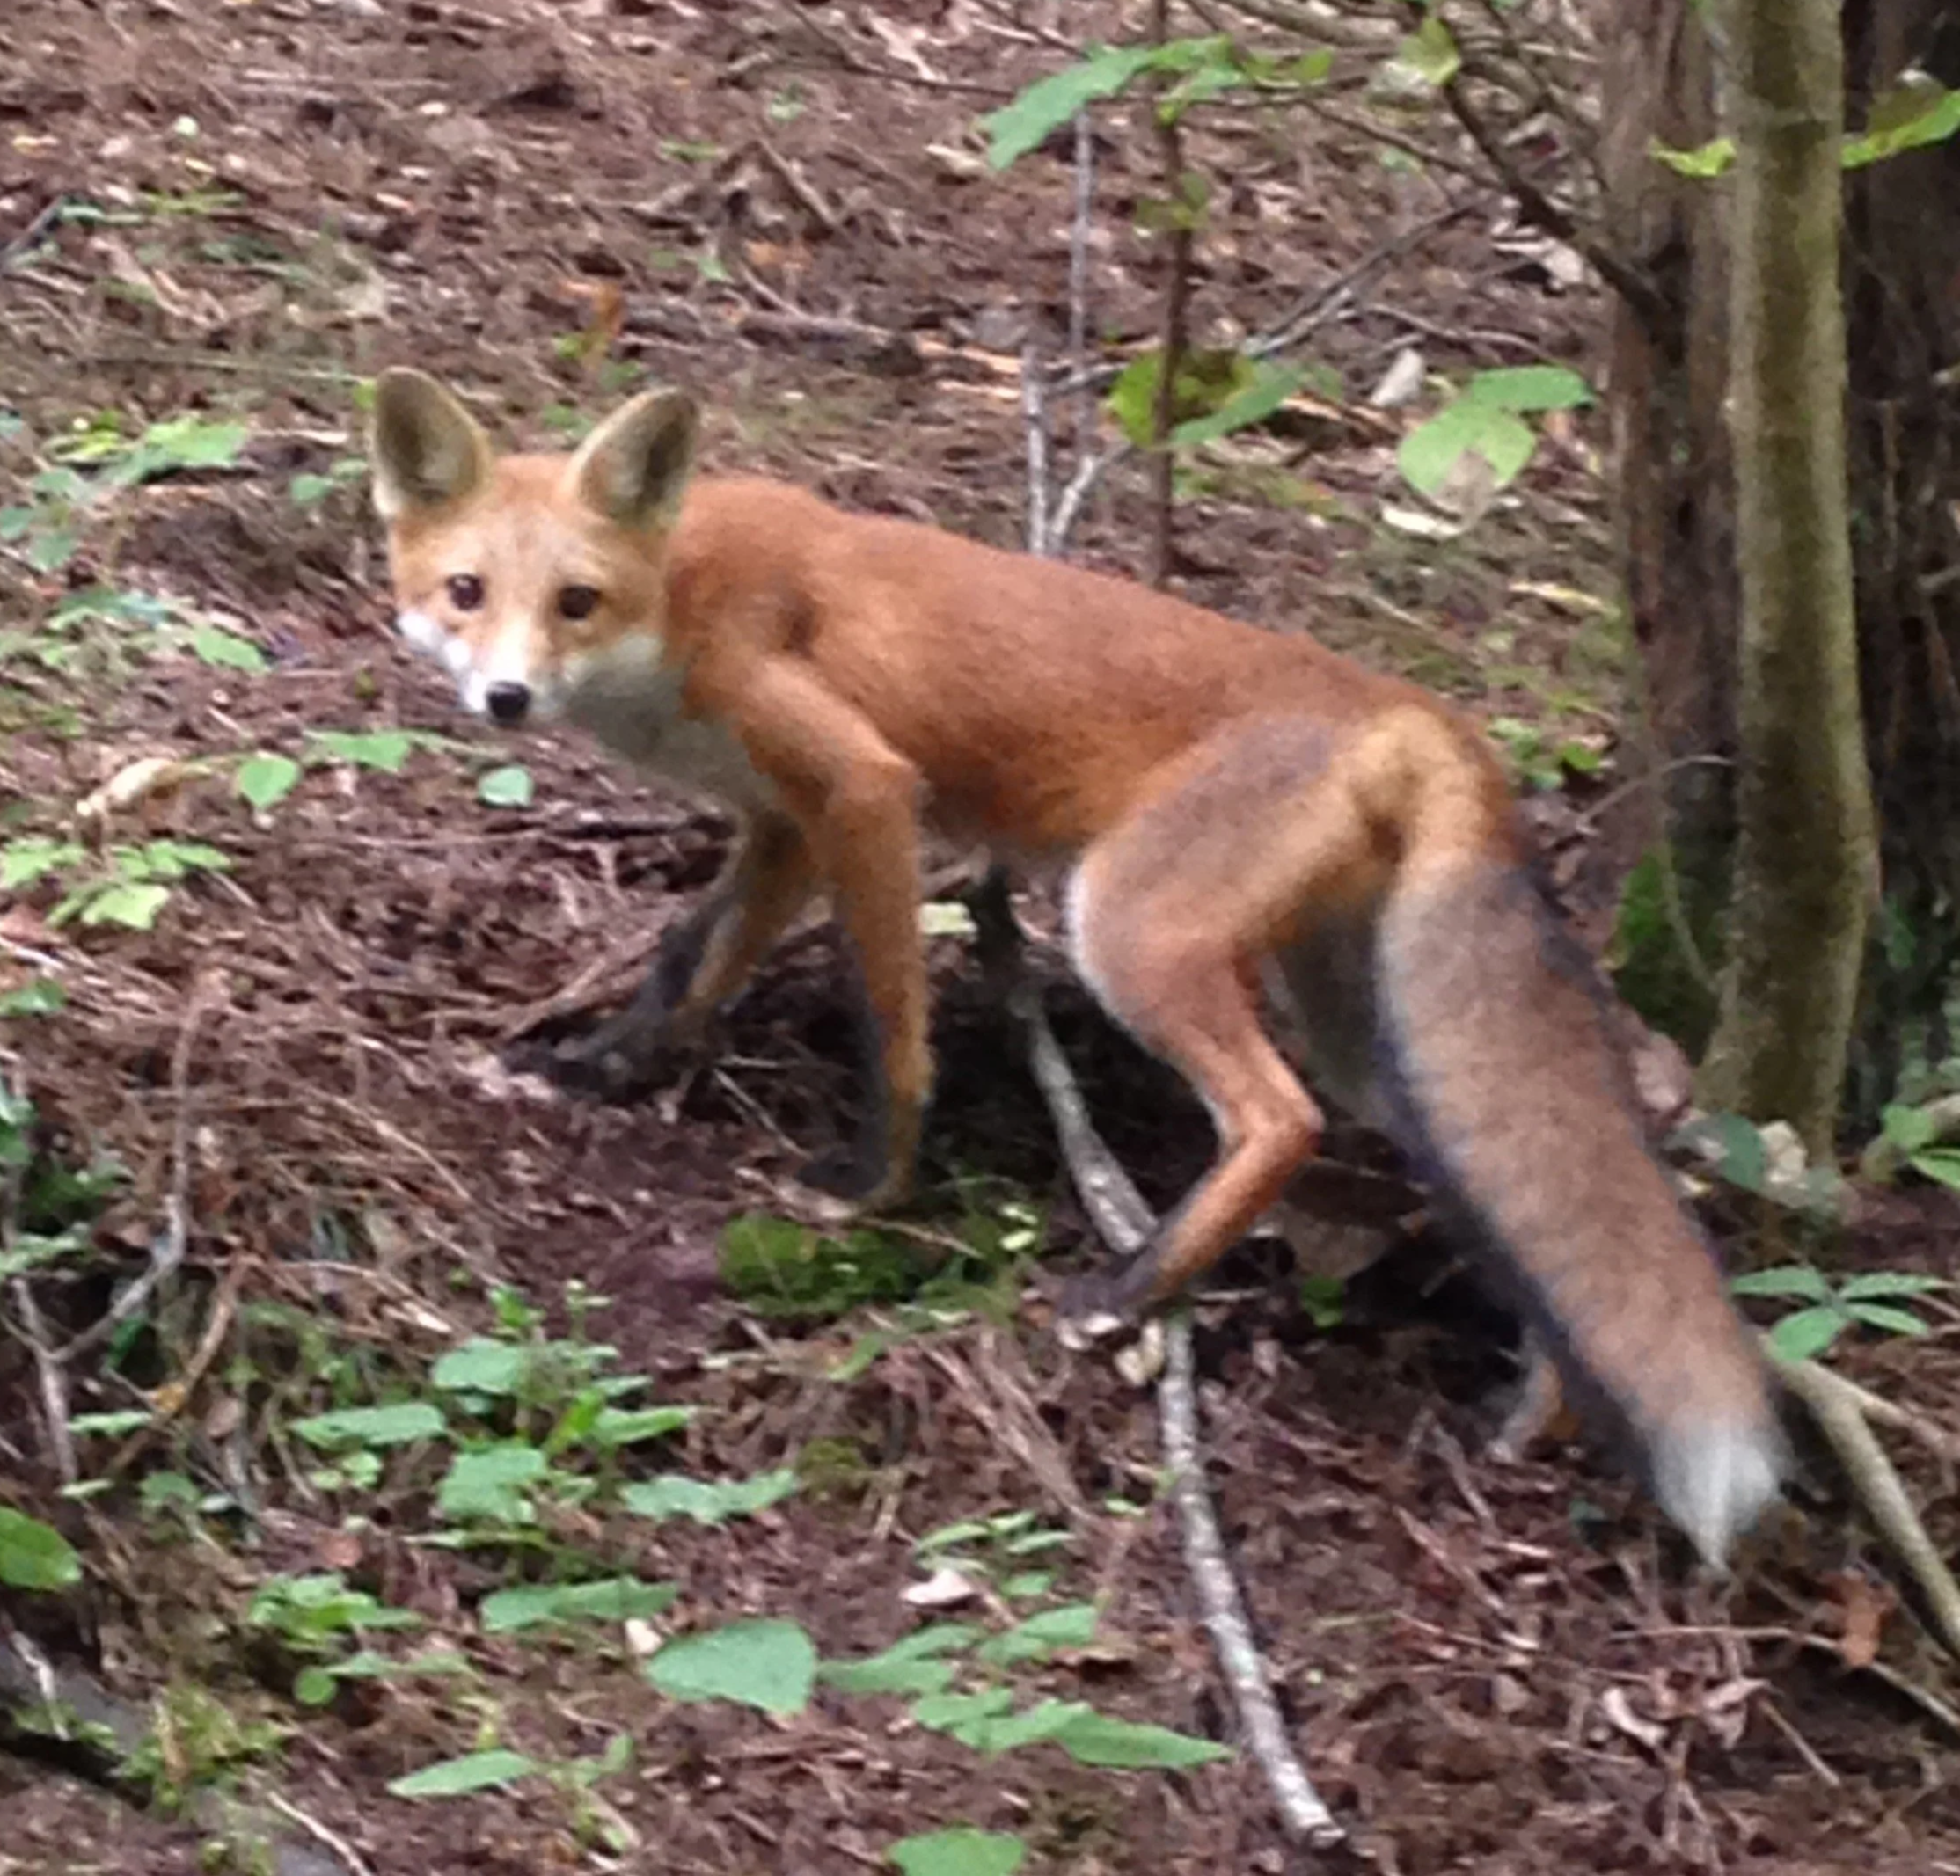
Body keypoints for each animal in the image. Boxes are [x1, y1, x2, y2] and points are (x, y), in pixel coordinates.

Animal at [365, 365, 1787, 1568]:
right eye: (466, 592)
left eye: (575, 601)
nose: (505, 701)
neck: (681, 602)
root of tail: (1420, 712)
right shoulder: (781, 824)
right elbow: (686, 964)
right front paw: (598, 1068)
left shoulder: (862, 788)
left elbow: (892, 1018)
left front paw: (874, 1183)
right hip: (1374, 1032)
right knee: (1513, 1191)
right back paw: (1543, 1407)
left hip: (1129, 929)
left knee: (1280, 1121)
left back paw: (1129, 1288)